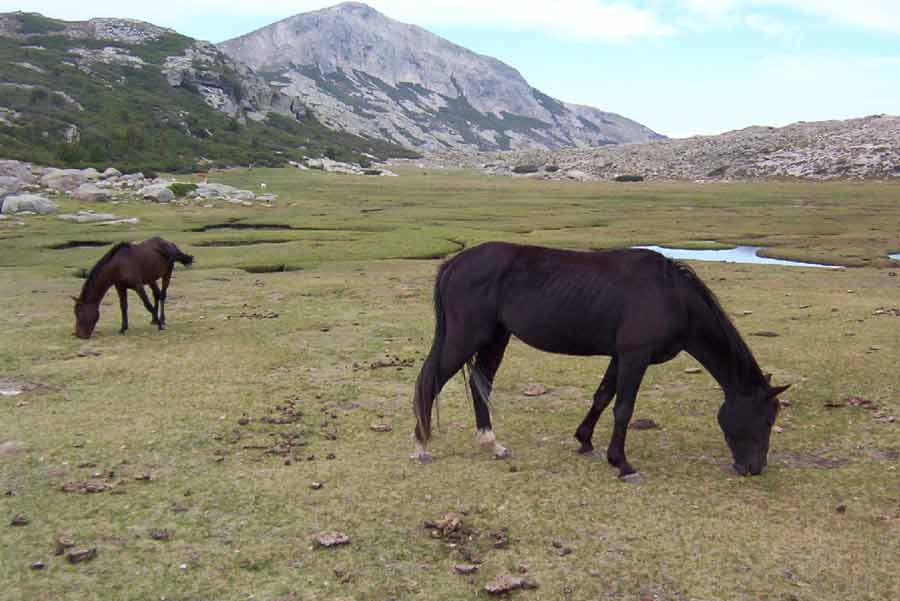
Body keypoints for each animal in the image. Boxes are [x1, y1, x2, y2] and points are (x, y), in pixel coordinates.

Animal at [412, 242, 789, 478]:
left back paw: (492, 444)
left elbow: (603, 397)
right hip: (466, 338)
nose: (753, 469)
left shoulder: (620, 356)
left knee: (481, 385)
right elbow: (623, 408)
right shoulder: (635, 356)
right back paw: (420, 446)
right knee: (430, 380)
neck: (671, 296)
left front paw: (585, 441)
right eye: (765, 419)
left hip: (495, 338)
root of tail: (455, 262)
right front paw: (621, 463)